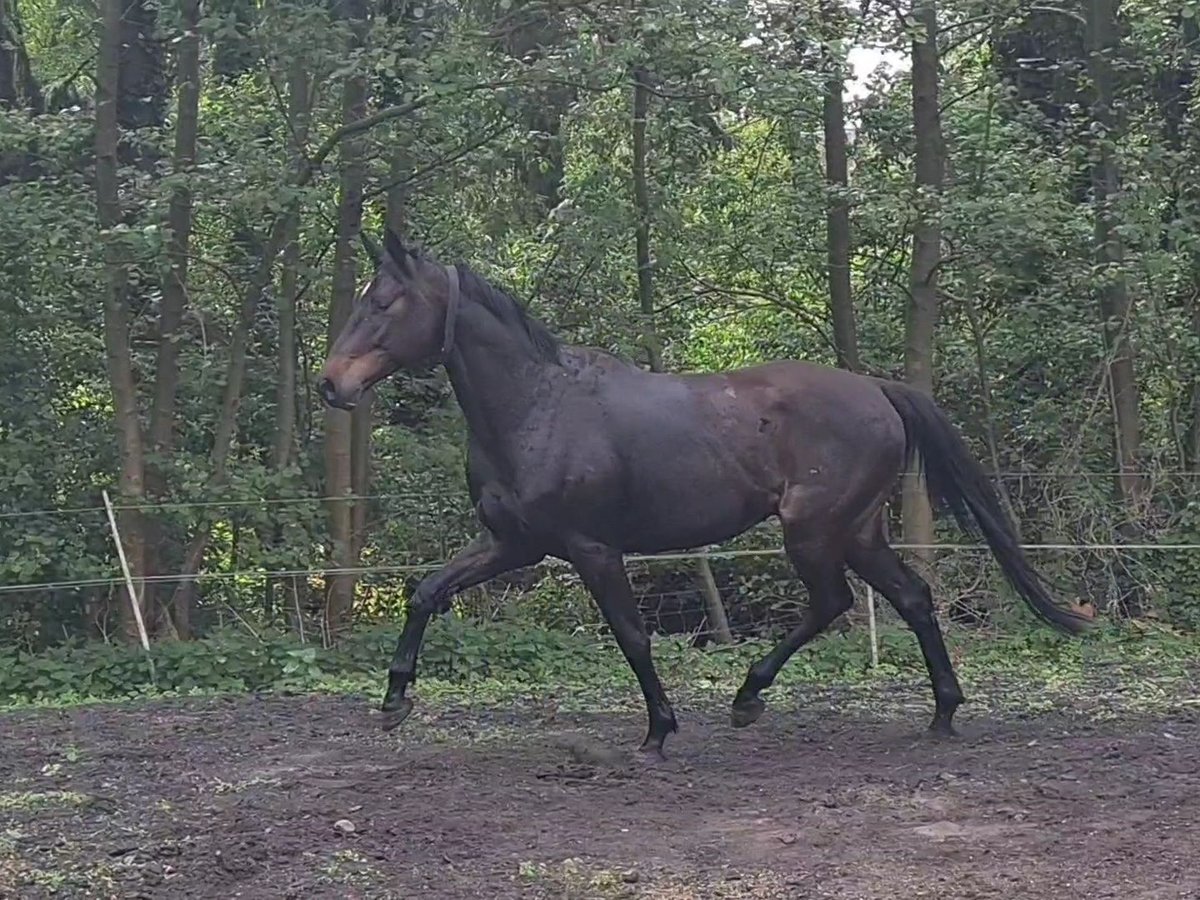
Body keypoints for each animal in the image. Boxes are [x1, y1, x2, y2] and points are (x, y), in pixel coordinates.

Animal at [316, 230, 1089, 753]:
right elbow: (425, 591)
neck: (538, 407)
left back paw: (752, 697)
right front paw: (394, 700)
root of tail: (877, 389)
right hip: (858, 531)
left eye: (383, 302)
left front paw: (659, 730)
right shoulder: (515, 544)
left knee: (835, 602)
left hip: (814, 531)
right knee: (910, 598)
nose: (330, 384)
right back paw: (939, 712)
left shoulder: (591, 549)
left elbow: (631, 635)